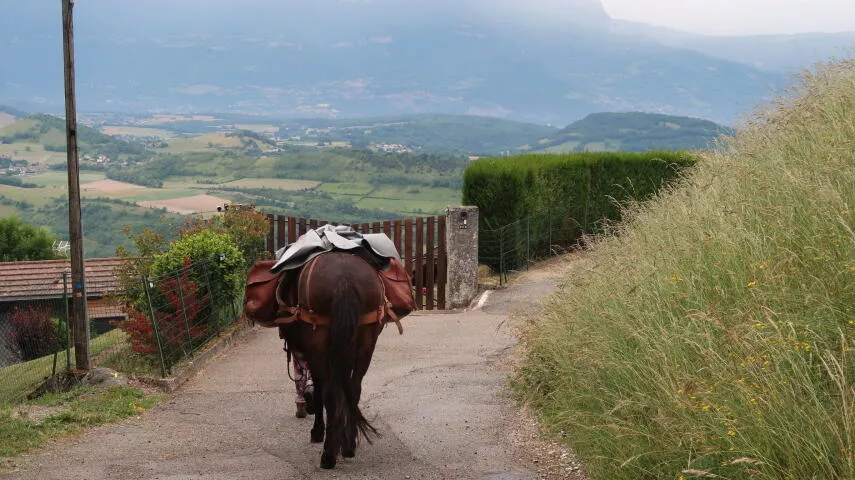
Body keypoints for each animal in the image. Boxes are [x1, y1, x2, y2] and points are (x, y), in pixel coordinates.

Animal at [279, 251, 386, 469]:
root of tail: (345, 280)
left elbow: (321, 390)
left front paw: (318, 432)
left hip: (318, 340)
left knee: (328, 391)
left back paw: (328, 455)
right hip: (366, 341)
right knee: (354, 388)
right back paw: (348, 446)